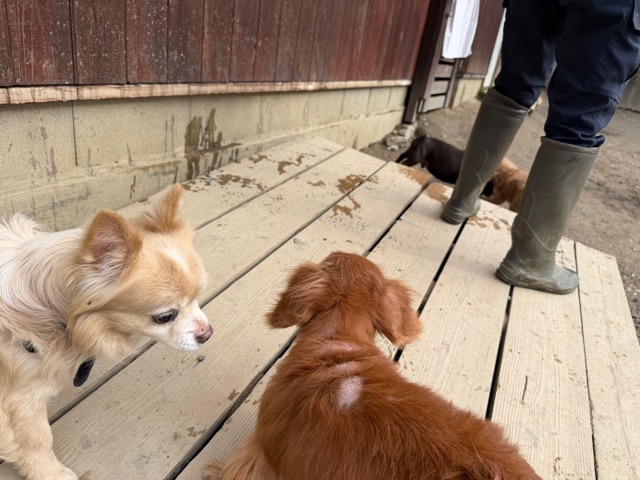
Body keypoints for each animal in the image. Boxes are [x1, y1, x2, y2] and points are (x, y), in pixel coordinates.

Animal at [0, 184, 213, 480]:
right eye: (165, 317)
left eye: (198, 297)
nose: (208, 333)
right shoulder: (22, 395)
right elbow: (37, 438)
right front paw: (50, 472)